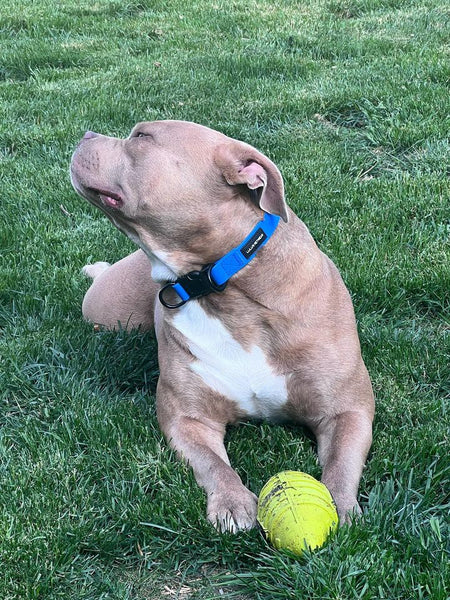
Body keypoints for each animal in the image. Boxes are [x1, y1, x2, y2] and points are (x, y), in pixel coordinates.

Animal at [69, 119, 372, 532]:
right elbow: (213, 464)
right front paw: (232, 502)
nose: (84, 136)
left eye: (142, 137)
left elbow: (341, 462)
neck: (221, 287)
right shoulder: (187, 418)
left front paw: (340, 507)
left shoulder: (348, 410)